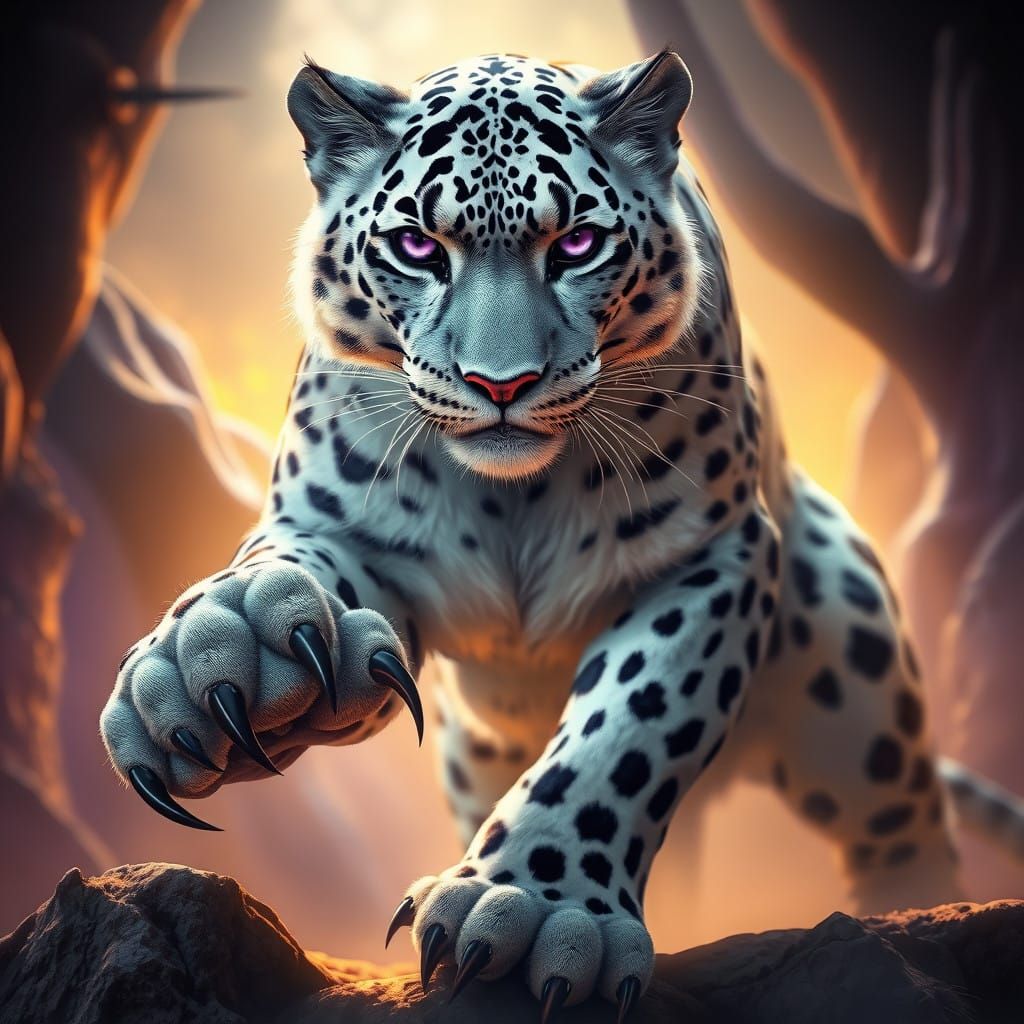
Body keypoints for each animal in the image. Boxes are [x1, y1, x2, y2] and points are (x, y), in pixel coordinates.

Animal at [101, 51, 1024, 1022]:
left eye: (576, 245)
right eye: (418, 248)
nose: (500, 383)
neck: (512, 501)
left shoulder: (712, 556)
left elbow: (630, 724)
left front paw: (533, 907)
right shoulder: (336, 523)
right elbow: (282, 569)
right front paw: (220, 658)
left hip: (856, 680)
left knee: (903, 828)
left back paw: (909, 921)